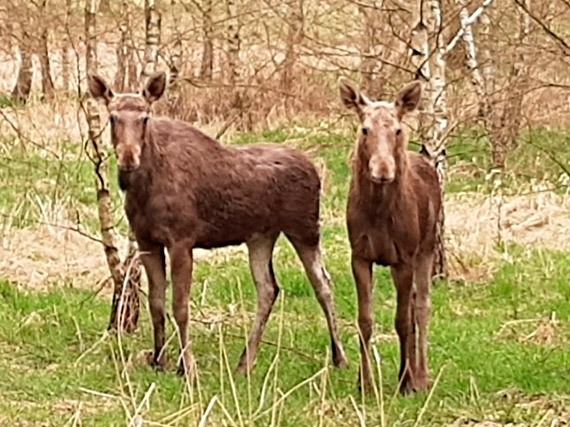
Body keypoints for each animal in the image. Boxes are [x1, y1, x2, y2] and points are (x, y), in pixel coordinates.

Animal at [87, 72, 346, 380]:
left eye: (145, 117)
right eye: (113, 117)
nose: (128, 157)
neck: (143, 188)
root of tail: (316, 170)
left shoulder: (181, 239)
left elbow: (180, 306)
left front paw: (188, 367)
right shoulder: (147, 240)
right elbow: (156, 303)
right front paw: (159, 360)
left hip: (305, 228)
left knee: (322, 283)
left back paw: (340, 357)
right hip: (261, 236)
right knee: (269, 289)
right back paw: (245, 362)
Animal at [338, 79, 440, 394]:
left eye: (397, 129)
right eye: (364, 129)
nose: (383, 170)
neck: (379, 214)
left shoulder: (405, 256)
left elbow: (402, 320)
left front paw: (405, 382)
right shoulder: (359, 255)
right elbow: (365, 320)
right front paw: (364, 382)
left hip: (427, 246)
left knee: (422, 305)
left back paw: (421, 376)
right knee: (415, 301)